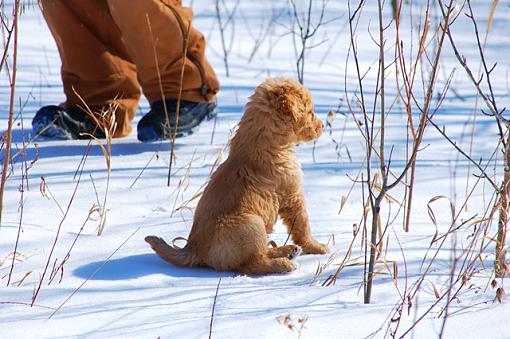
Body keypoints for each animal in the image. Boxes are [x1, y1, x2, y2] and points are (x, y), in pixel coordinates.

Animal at [144, 78, 326, 274]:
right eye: (310, 112)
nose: (322, 126)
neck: (265, 139)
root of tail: (193, 250)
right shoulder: (292, 194)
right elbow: (302, 224)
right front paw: (316, 247)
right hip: (252, 224)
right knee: (253, 263)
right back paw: (285, 263)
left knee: (261, 252)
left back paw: (289, 251)